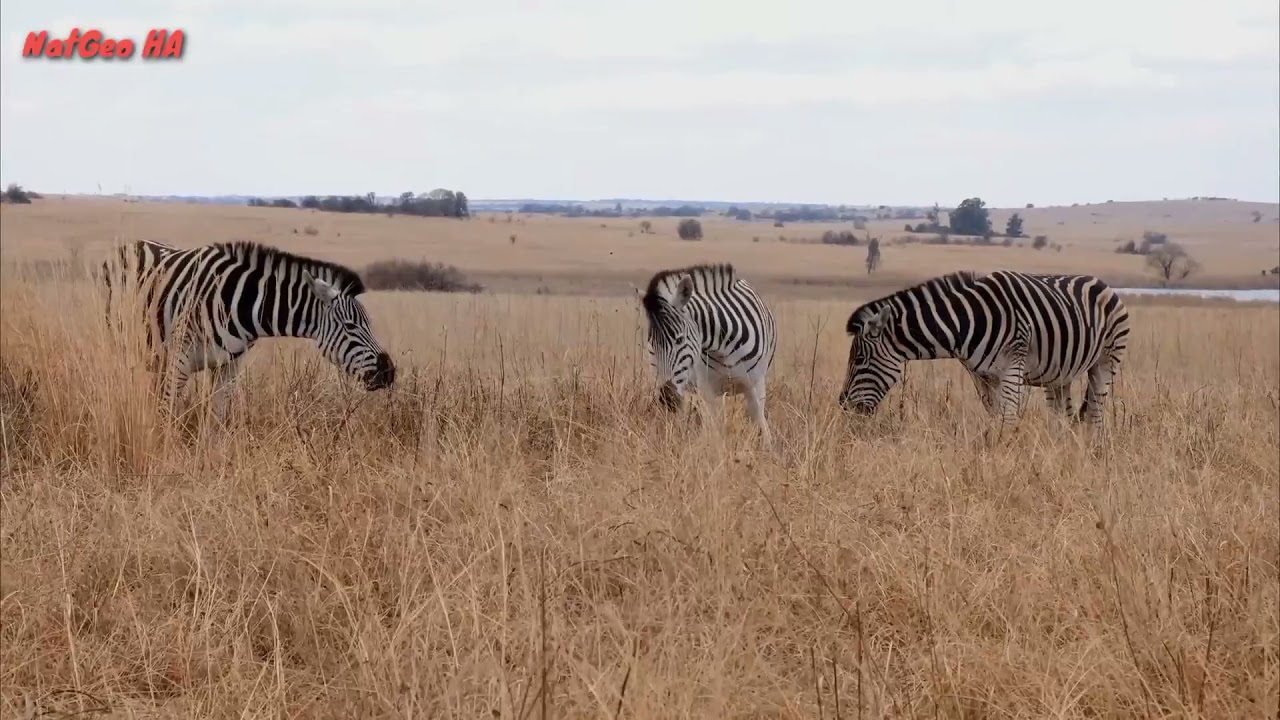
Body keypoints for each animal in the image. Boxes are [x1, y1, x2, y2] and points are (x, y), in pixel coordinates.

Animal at [103, 239, 395, 419]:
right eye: (350, 326)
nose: (389, 372)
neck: (239, 304)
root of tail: (132, 243)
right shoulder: (180, 361)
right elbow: (167, 415)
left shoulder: (229, 365)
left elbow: (217, 418)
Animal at [637, 263, 778, 449]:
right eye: (652, 346)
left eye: (679, 339)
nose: (667, 399)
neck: (723, 347)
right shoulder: (707, 389)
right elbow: (715, 430)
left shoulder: (755, 384)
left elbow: (761, 425)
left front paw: (767, 452)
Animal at [838, 269, 1130, 430]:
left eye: (860, 359)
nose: (844, 406)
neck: (966, 322)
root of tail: (1103, 284)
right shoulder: (982, 376)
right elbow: (995, 417)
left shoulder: (1012, 368)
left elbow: (1007, 419)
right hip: (1060, 375)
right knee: (1063, 417)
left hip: (1106, 361)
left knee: (1095, 414)